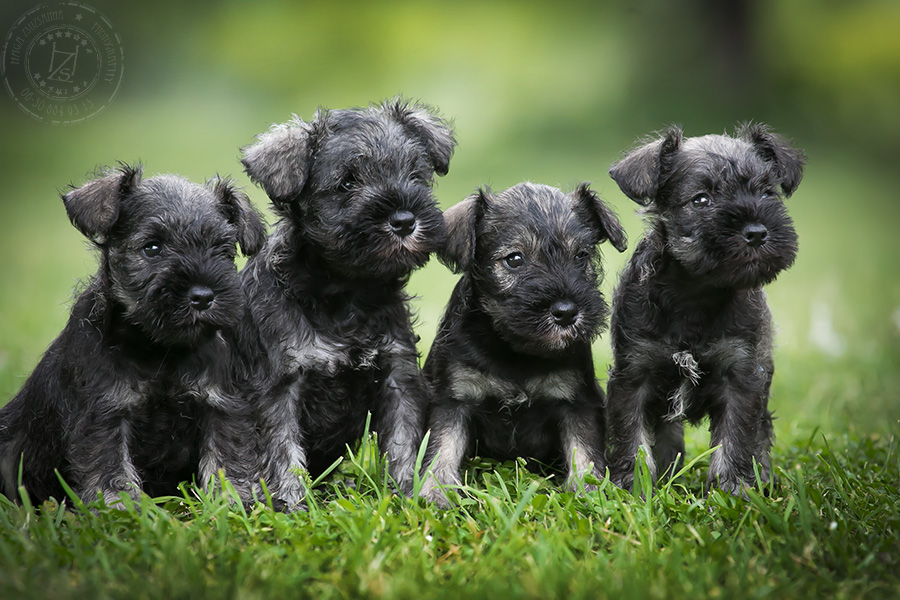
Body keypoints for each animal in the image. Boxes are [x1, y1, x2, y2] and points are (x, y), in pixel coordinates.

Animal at [0, 164, 268, 506]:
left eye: (221, 249)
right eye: (152, 247)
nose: (203, 296)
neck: (160, 348)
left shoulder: (219, 404)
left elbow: (225, 456)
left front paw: (232, 500)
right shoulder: (106, 412)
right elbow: (110, 464)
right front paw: (119, 506)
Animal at [239, 98, 458, 510]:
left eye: (415, 174)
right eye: (346, 183)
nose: (404, 219)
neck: (348, 290)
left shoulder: (398, 375)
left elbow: (402, 442)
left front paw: (406, 494)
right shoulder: (280, 385)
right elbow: (283, 449)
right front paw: (293, 504)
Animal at [420, 183, 624, 506]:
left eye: (581, 255)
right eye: (514, 259)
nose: (567, 312)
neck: (515, 351)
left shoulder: (576, 401)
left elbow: (584, 450)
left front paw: (588, 493)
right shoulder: (454, 398)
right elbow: (442, 446)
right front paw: (435, 493)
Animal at [604, 122, 800, 496]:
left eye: (767, 193)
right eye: (701, 200)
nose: (757, 232)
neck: (695, 293)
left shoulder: (741, 376)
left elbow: (736, 439)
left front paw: (734, 491)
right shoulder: (633, 375)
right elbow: (631, 439)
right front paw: (632, 489)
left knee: (761, 434)